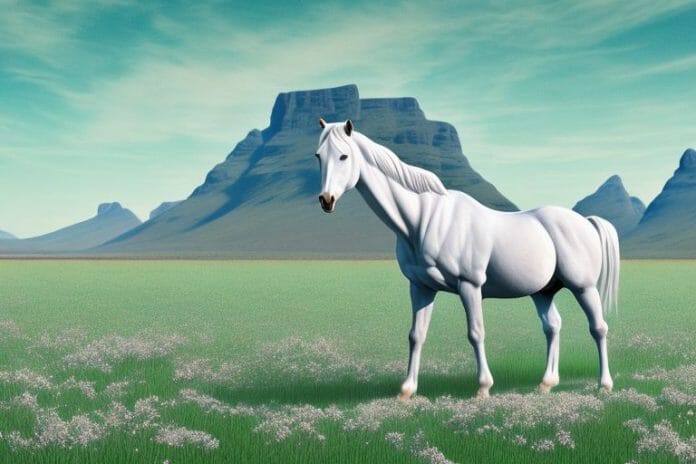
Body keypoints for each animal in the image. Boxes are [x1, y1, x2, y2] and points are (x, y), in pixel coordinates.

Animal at [314, 118, 619, 400]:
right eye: (318, 155)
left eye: (344, 156)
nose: (326, 200)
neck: (423, 220)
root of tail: (585, 221)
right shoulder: (421, 287)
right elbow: (416, 335)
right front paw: (407, 391)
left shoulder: (469, 285)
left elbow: (476, 332)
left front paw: (483, 388)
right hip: (543, 292)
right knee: (553, 327)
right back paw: (546, 384)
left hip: (583, 287)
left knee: (598, 328)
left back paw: (604, 385)